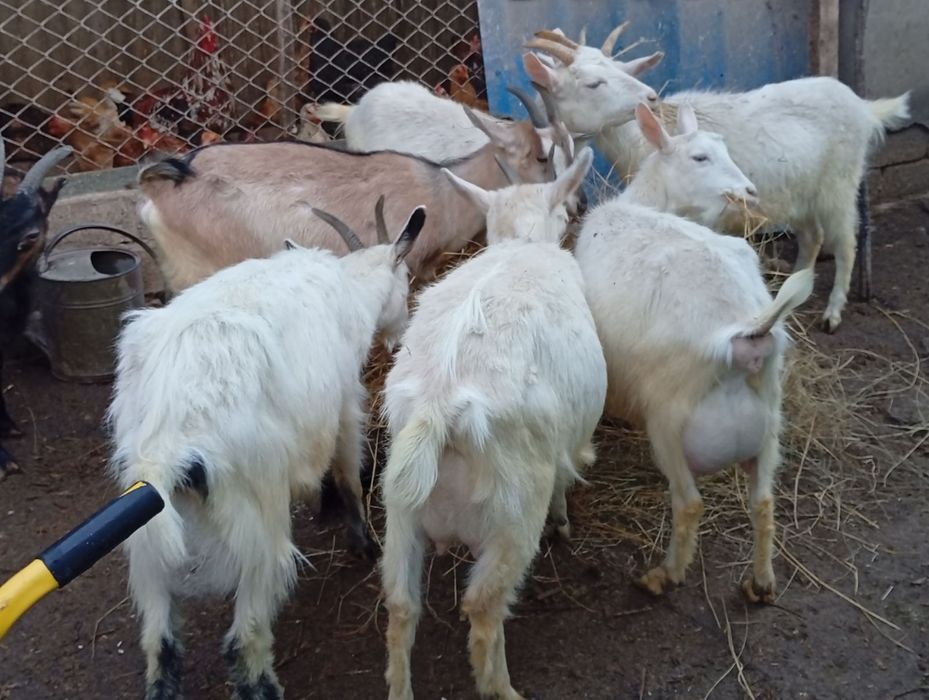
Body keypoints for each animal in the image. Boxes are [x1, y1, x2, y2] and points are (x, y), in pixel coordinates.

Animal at [109, 203, 426, 700]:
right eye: (407, 276)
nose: (402, 331)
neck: (348, 287)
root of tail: (172, 437)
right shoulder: (344, 403)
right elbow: (347, 472)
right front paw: (363, 542)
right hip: (257, 516)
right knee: (245, 639)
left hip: (145, 533)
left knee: (160, 643)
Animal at [380, 148, 605, 700]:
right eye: (563, 212)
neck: (522, 246)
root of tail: (438, 408)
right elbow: (566, 480)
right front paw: (564, 520)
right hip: (514, 513)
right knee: (483, 606)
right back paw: (504, 688)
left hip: (400, 509)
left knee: (401, 605)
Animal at [526, 25, 911, 332]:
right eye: (593, 82)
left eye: (619, 70)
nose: (650, 97)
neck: (652, 135)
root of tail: (864, 107)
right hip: (799, 193)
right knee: (812, 237)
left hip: (839, 185)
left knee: (846, 242)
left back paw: (832, 312)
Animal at [573, 112, 815, 600]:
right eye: (700, 156)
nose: (749, 191)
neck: (644, 203)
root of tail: (746, 334)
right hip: (770, 421)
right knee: (764, 500)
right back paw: (761, 582)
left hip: (669, 420)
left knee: (689, 505)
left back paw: (663, 575)